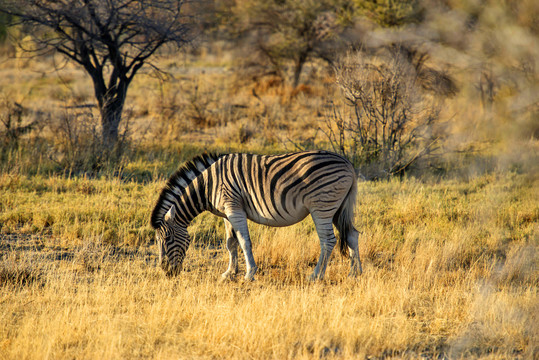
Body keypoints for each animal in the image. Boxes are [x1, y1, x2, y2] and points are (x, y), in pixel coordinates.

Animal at [150, 150, 364, 280]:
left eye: (167, 239)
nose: (166, 272)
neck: (208, 185)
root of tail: (347, 163)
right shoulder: (227, 213)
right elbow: (231, 243)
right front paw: (229, 272)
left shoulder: (234, 208)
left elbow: (244, 241)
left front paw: (249, 274)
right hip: (339, 207)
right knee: (352, 234)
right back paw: (355, 273)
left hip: (321, 206)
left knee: (328, 240)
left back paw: (316, 275)